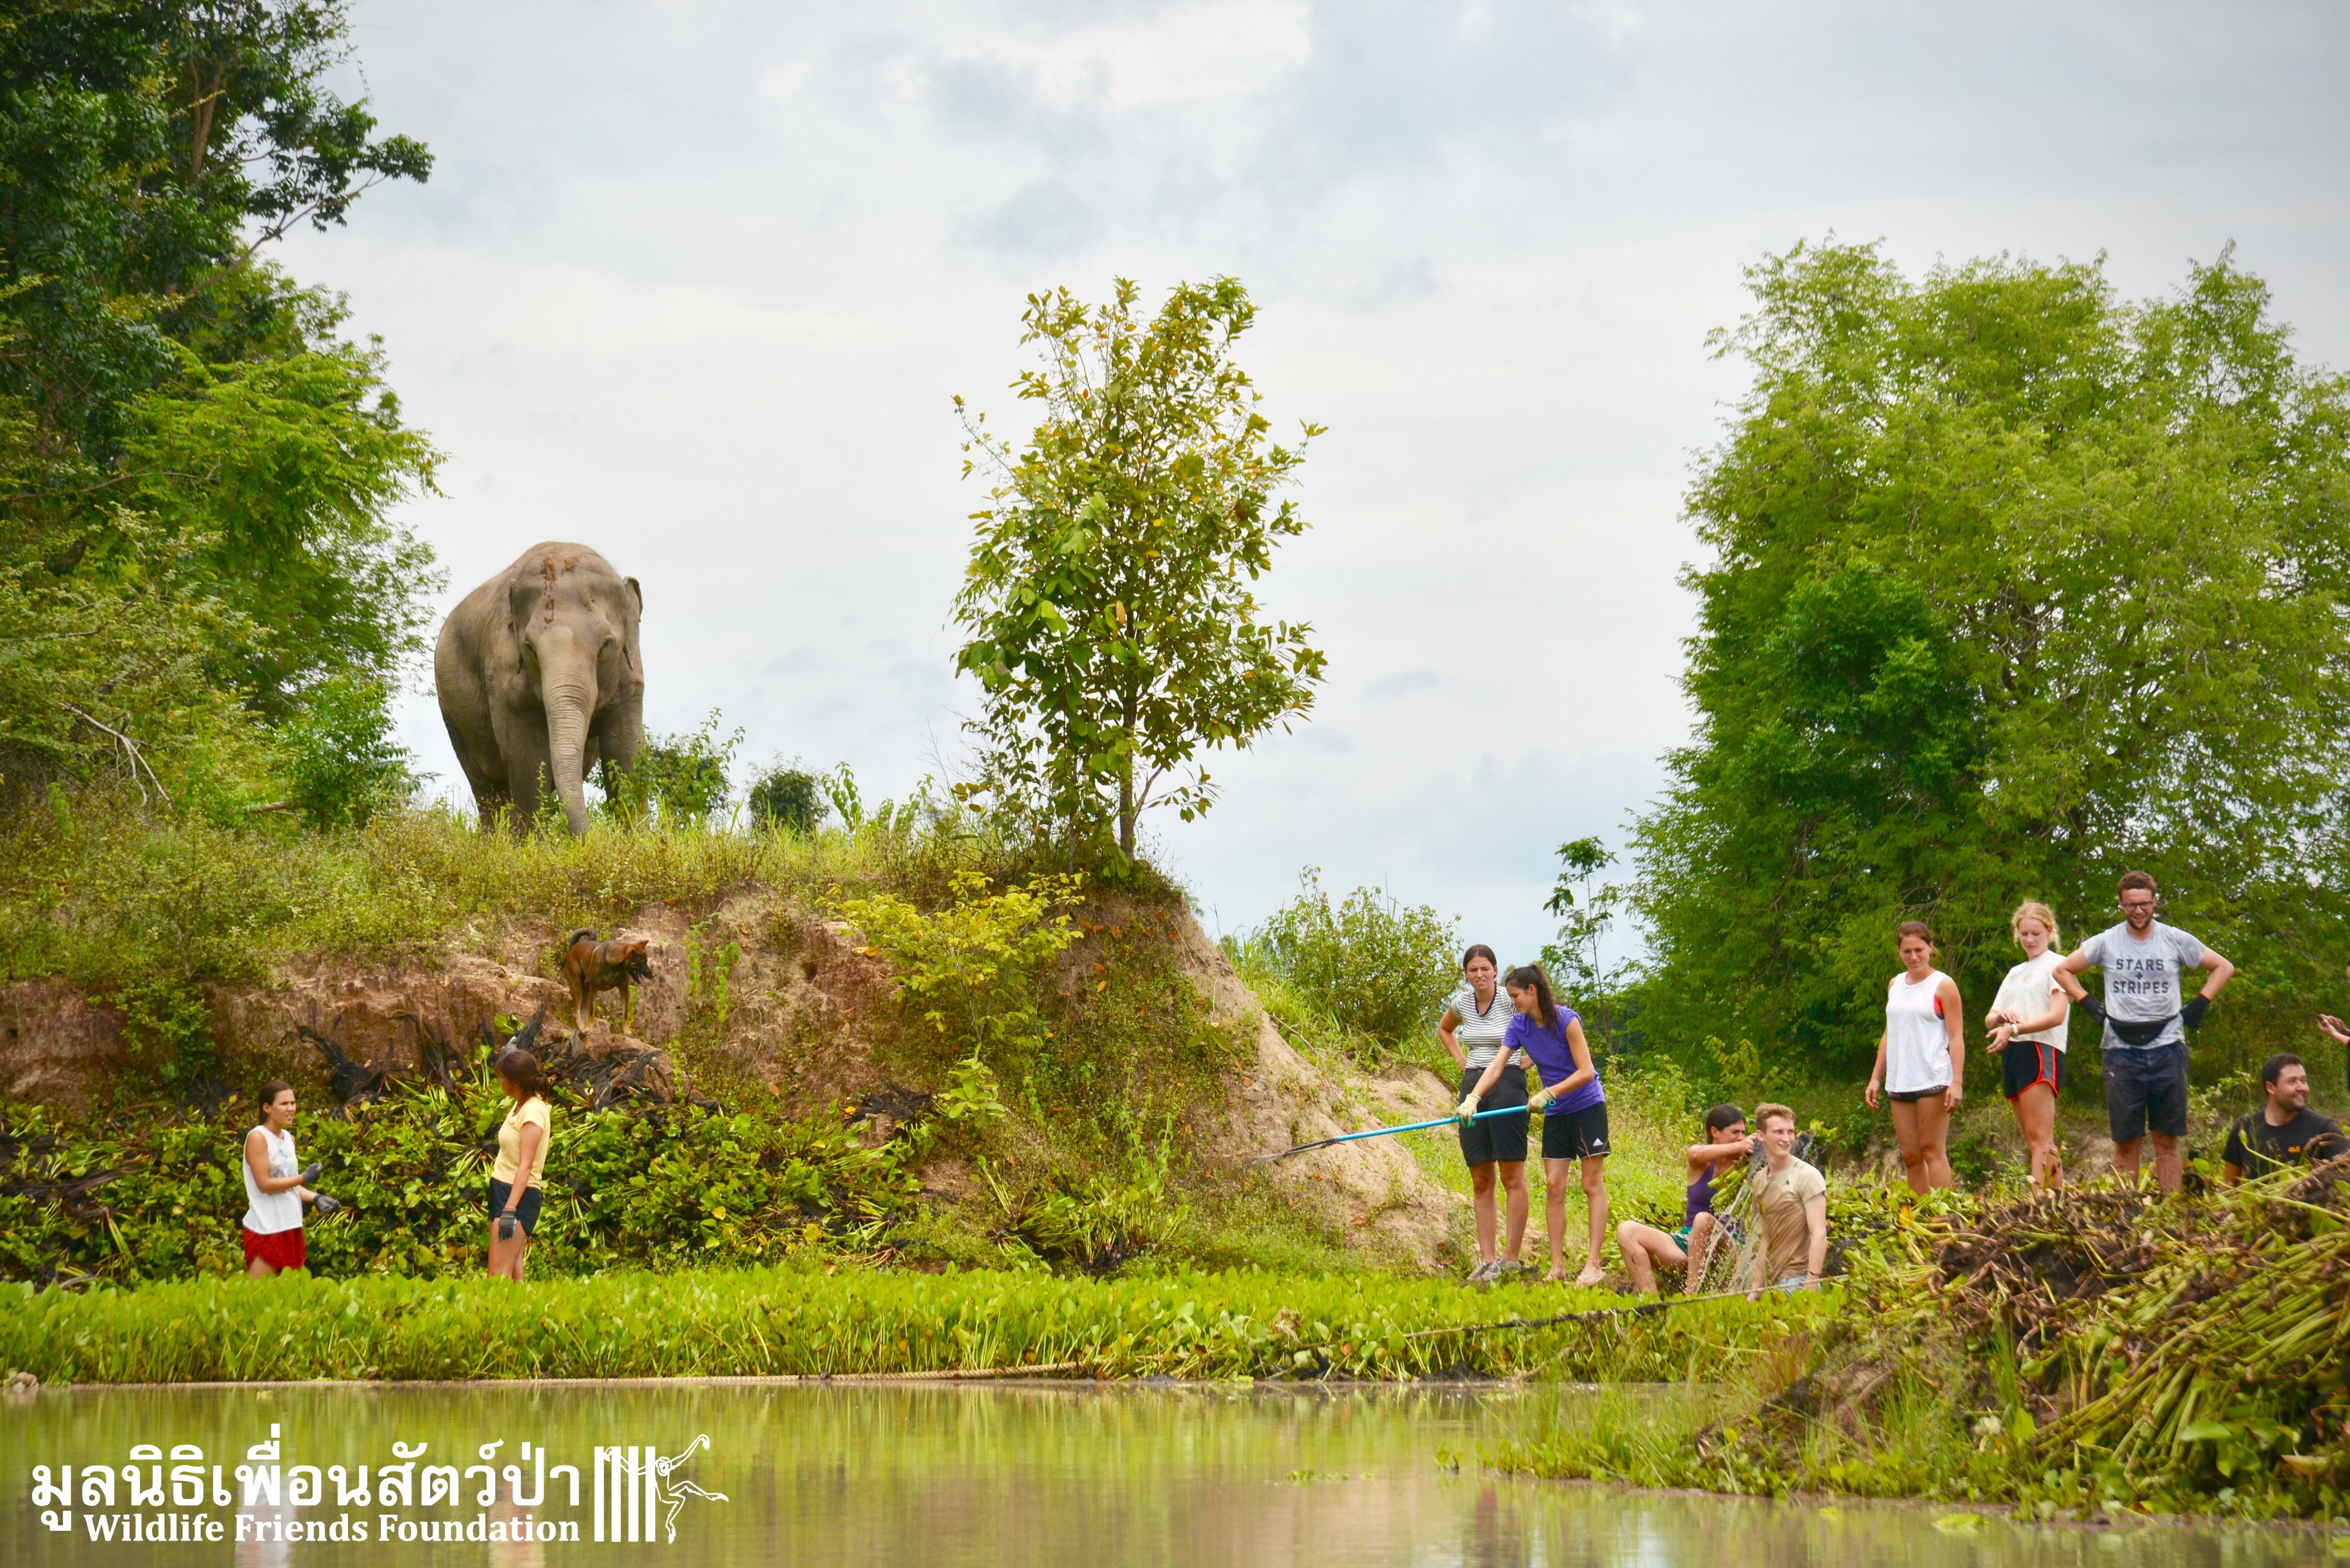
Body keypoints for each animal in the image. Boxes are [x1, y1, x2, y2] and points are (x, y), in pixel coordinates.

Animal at [435, 542, 644, 836]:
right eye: (530, 648)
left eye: (607, 644)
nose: (587, 838)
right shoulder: (503, 675)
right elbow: (528, 755)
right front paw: (534, 844)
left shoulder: (631, 677)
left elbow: (624, 749)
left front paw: (635, 836)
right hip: (451, 711)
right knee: (485, 785)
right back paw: (497, 839)